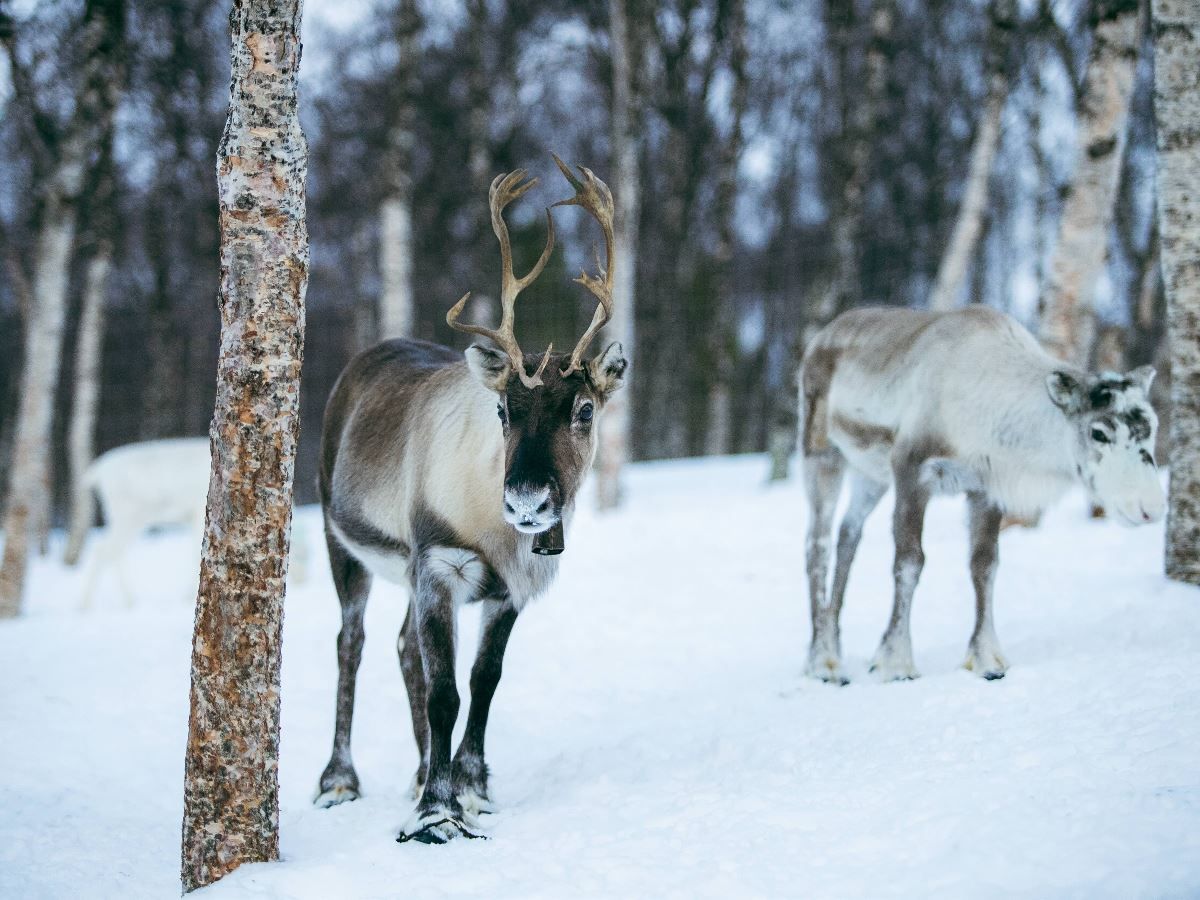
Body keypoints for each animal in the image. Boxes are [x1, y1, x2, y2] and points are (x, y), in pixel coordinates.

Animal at [313, 156, 627, 845]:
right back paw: (339, 780)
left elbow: (483, 683)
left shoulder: (510, 589)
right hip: (340, 539)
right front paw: (438, 810)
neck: (495, 531)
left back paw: (415, 772)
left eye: (585, 410)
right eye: (505, 409)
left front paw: (471, 788)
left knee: (404, 649)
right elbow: (446, 694)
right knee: (353, 642)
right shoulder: (438, 565)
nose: (529, 499)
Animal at [800, 305, 1165, 685]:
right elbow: (909, 562)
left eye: (1152, 426)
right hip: (822, 453)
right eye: (1099, 432)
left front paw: (986, 659)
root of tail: (822, 335)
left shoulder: (986, 489)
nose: (1151, 508)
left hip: (870, 475)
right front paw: (895, 662)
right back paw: (822, 661)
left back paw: (834, 646)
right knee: (817, 543)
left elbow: (984, 566)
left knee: (848, 533)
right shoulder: (912, 471)